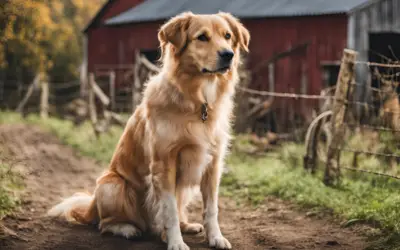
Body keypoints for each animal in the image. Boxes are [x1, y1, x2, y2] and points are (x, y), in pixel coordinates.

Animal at [48, 11, 248, 250]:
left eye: (227, 36)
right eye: (202, 37)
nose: (228, 55)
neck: (198, 101)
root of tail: (91, 207)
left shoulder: (213, 164)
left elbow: (211, 209)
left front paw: (216, 237)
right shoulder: (164, 164)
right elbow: (169, 211)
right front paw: (175, 242)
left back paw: (186, 225)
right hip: (112, 185)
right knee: (105, 224)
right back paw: (128, 229)